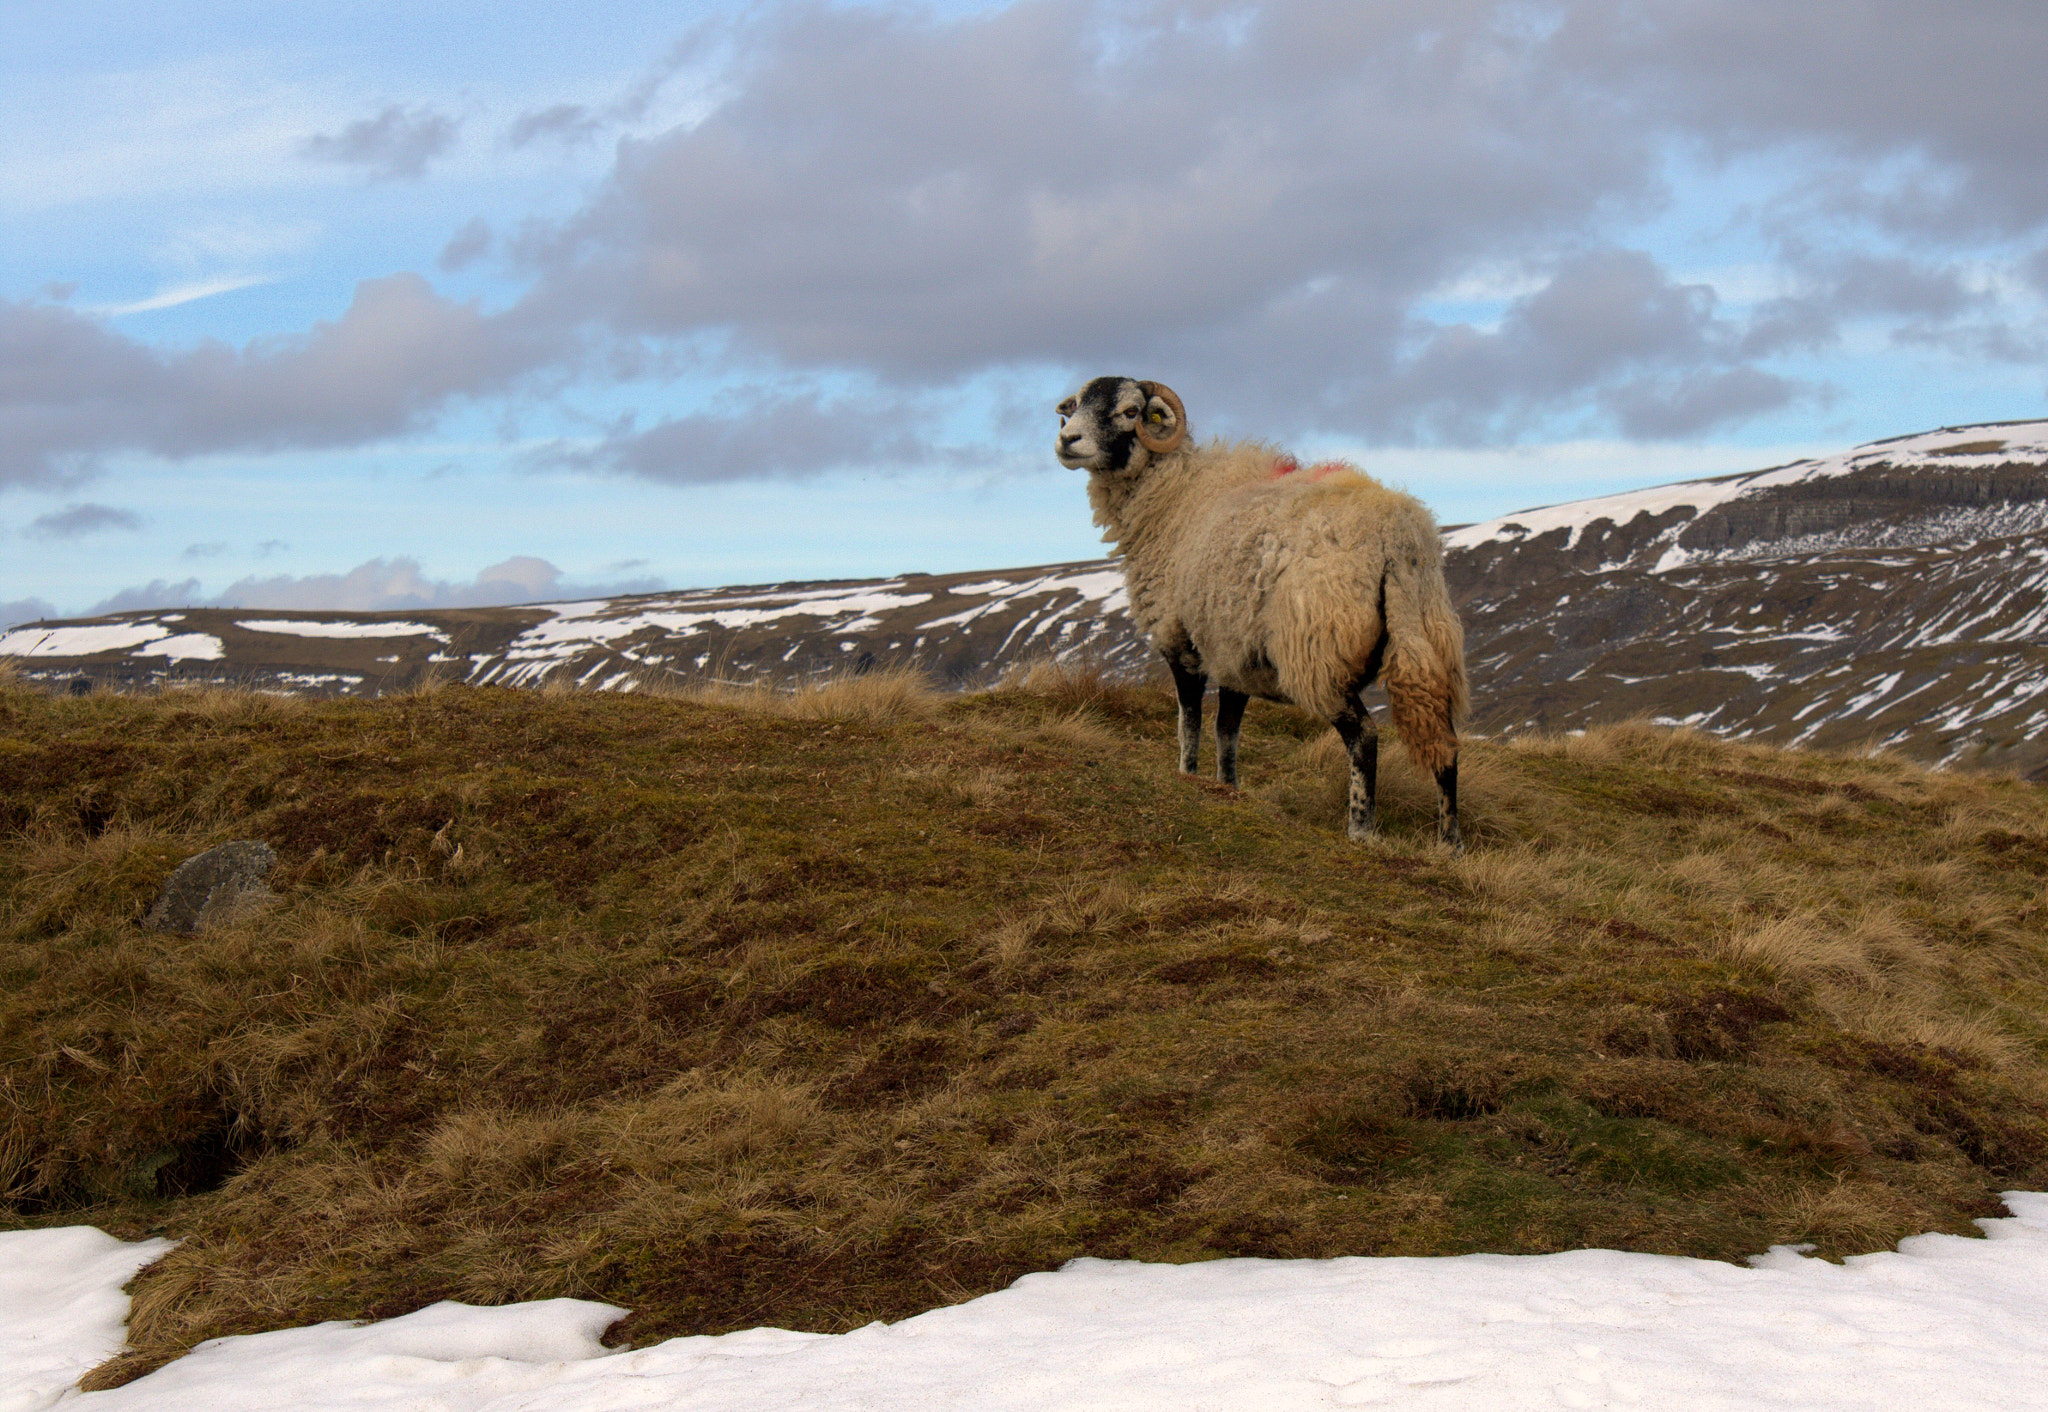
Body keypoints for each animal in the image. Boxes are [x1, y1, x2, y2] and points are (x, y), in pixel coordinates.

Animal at [1054, 376, 1468, 849]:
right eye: (1076, 406)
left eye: (1129, 411)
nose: (1066, 440)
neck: (1174, 498)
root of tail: (1397, 537)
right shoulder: (1234, 655)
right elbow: (1227, 732)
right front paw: (1227, 788)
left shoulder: (1182, 642)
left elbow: (1189, 725)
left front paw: (1187, 778)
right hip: (1429, 639)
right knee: (1445, 741)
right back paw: (1450, 843)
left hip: (1319, 651)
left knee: (1363, 736)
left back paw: (1361, 829)